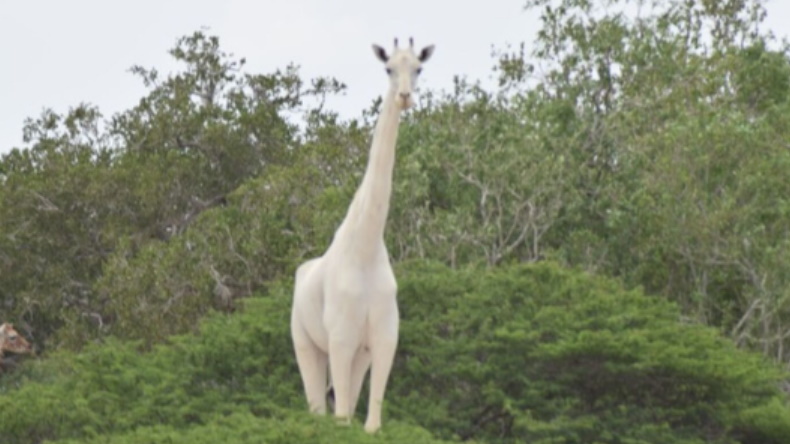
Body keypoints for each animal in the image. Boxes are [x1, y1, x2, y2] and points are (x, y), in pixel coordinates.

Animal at [291, 37, 434, 434]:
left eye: (418, 68)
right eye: (388, 68)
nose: (404, 97)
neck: (366, 248)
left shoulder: (383, 341)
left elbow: (370, 422)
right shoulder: (340, 340)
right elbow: (341, 418)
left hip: (357, 355)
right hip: (306, 343)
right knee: (317, 407)